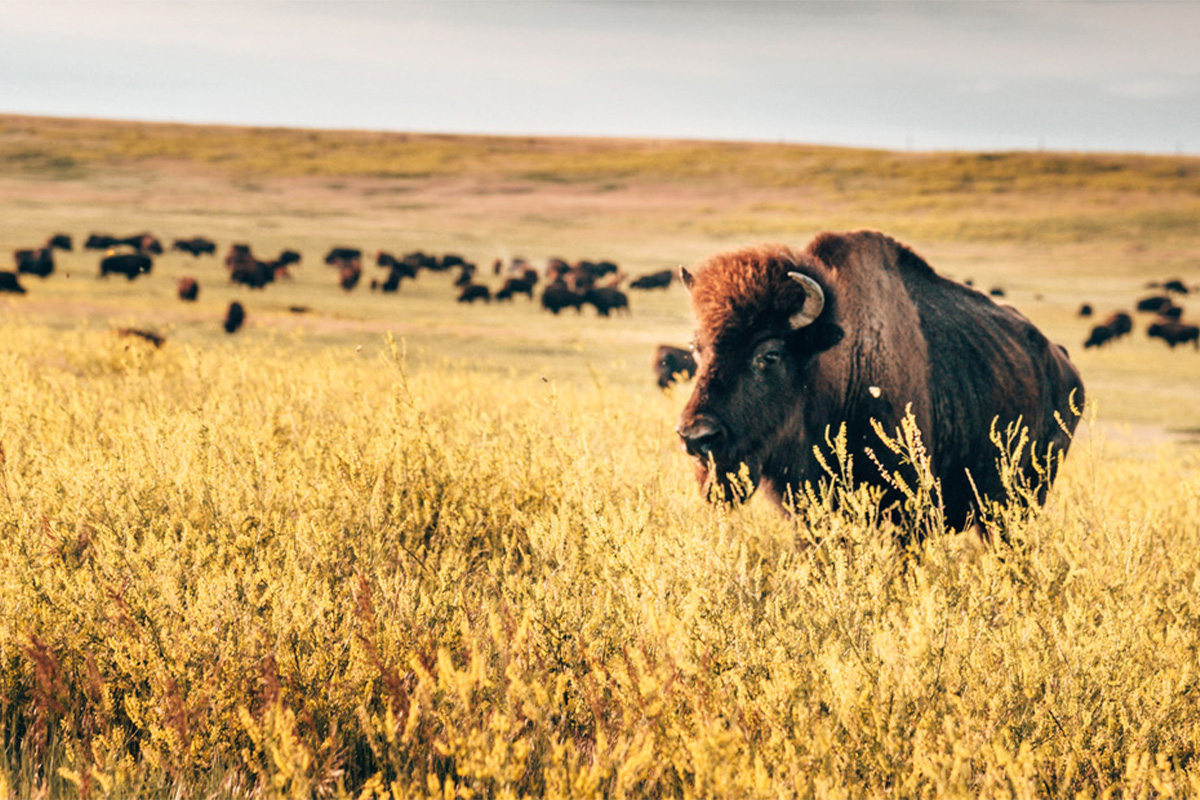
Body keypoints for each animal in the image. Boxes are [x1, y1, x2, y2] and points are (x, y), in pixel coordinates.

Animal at [676, 227, 1089, 534]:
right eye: (697, 347)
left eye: (770, 354)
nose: (696, 437)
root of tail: (1062, 362)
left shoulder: (909, 515)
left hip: (1019, 503)